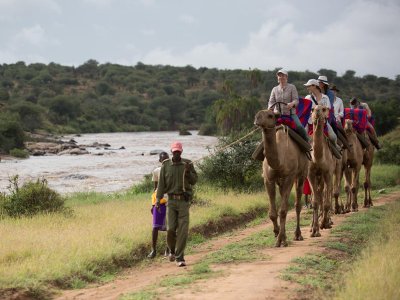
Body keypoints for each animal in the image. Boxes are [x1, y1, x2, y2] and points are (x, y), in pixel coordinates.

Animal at [255, 109, 308, 246]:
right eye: (257, 114)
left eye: (270, 115)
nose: (257, 119)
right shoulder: (268, 179)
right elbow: (273, 213)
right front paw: (277, 233)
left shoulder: (290, 176)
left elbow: (283, 210)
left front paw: (281, 239)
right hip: (281, 181)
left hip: (301, 174)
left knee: (297, 204)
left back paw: (298, 235)